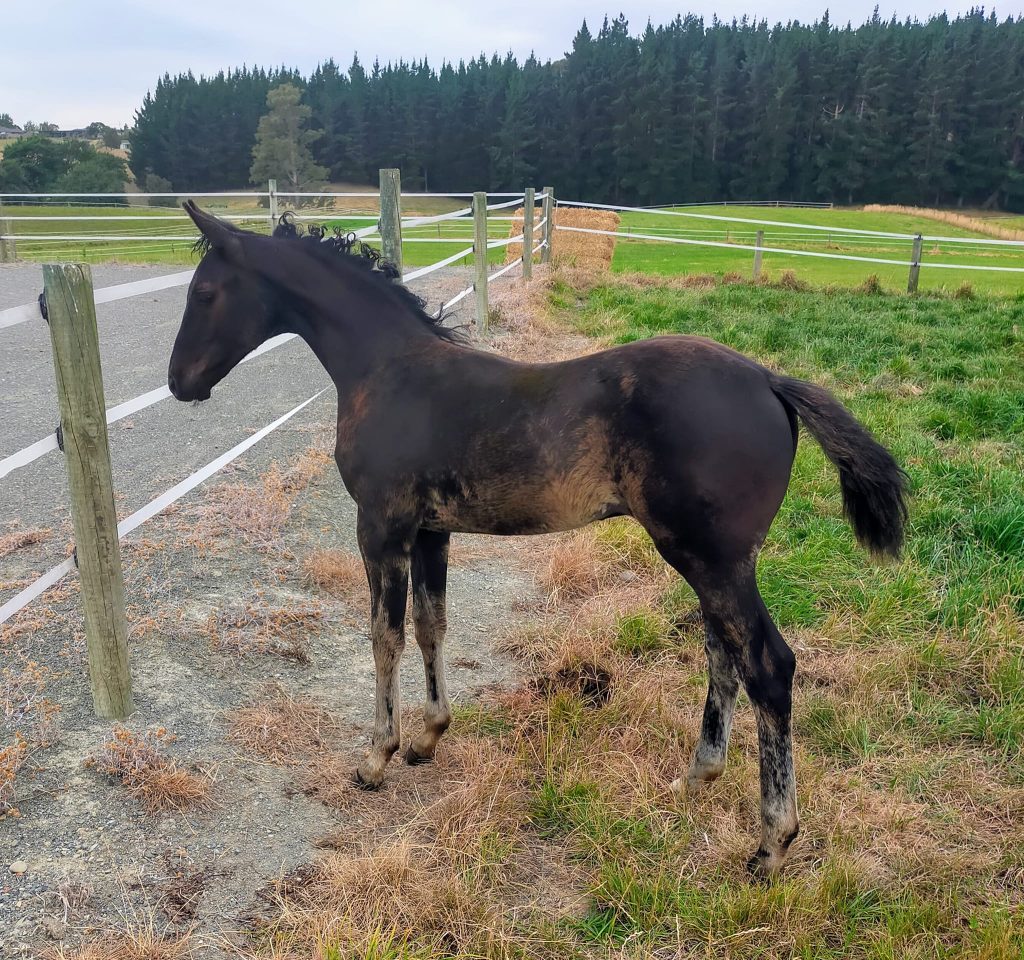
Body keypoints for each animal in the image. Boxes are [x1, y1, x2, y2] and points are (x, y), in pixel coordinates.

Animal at [168, 202, 908, 875]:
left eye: (204, 293)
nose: (179, 382)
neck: (388, 372)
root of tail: (768, 379)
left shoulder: (381, 527)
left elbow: (385, 635)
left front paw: (377, 757)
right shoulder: (432, 531)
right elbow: (433, 625)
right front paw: (428, 738)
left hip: (712, 559)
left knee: (767, 666)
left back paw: (771, 844)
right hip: (713, 561)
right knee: (722, 652)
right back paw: (697, 776)